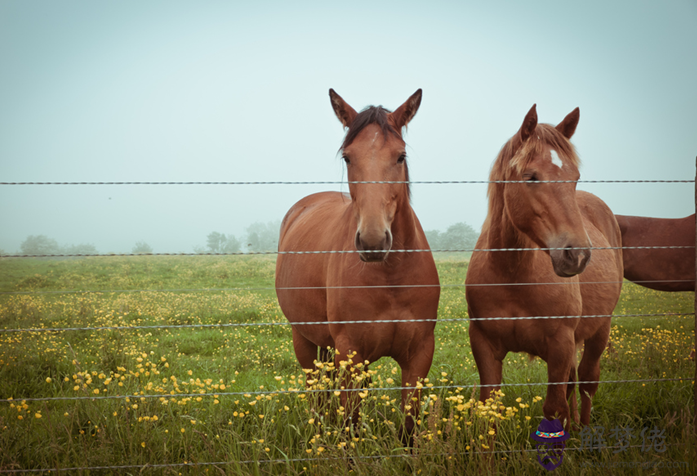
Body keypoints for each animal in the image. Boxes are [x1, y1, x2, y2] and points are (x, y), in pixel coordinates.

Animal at [274, 89, 438, 438]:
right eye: (348, 157)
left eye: (400, 156)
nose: (373, 241)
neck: (390, 277)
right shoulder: (349, 353)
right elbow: (350, 426)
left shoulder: (419, 356)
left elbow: (408, 428)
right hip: (304, 340)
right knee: (317, 397)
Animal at [464, 104, 624, 428]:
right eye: (531, 177)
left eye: (575, 177)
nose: (578, 255)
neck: (512, 275)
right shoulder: (484, 344)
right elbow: (489, 408)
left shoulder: (560, 344)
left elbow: (553, 408)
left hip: (601, 329)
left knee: (587, 382)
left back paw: (584, 430)